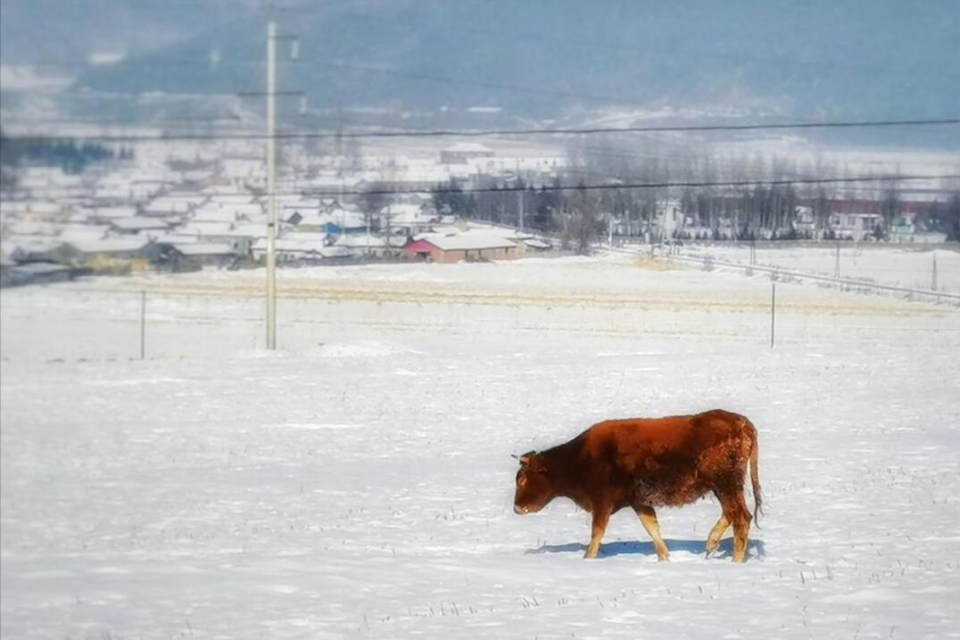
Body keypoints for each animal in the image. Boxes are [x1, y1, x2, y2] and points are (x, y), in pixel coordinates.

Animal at [512, 410, 760, 560]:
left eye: (522, 479)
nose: (517, 508)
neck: (581, 457)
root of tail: (743, 424)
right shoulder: (639, 502)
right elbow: (652, 527)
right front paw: (664, 556)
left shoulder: (602, 503)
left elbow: (597, 532)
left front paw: (587, 558)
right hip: (722, 487)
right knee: (733, 513)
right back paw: (711, 543)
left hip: (725, 484)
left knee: (741, 517)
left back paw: (735, 559)